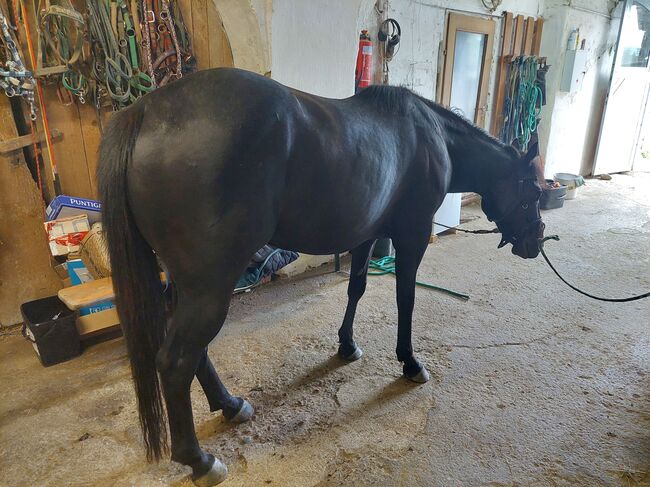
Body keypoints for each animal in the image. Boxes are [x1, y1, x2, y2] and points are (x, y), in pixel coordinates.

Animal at [96, 66, 540, 486]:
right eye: (535, 191)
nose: (534, 244)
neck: (434, 138)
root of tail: (145, 112)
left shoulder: (366, 234)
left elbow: (357, 287)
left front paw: (347, 345)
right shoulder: (412, 235)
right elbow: (406, 298)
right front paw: (410, 363)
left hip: (187, 284)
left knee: (193, 352)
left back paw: (231, 406)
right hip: (210, 286)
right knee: (175, 361)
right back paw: (200, 461)